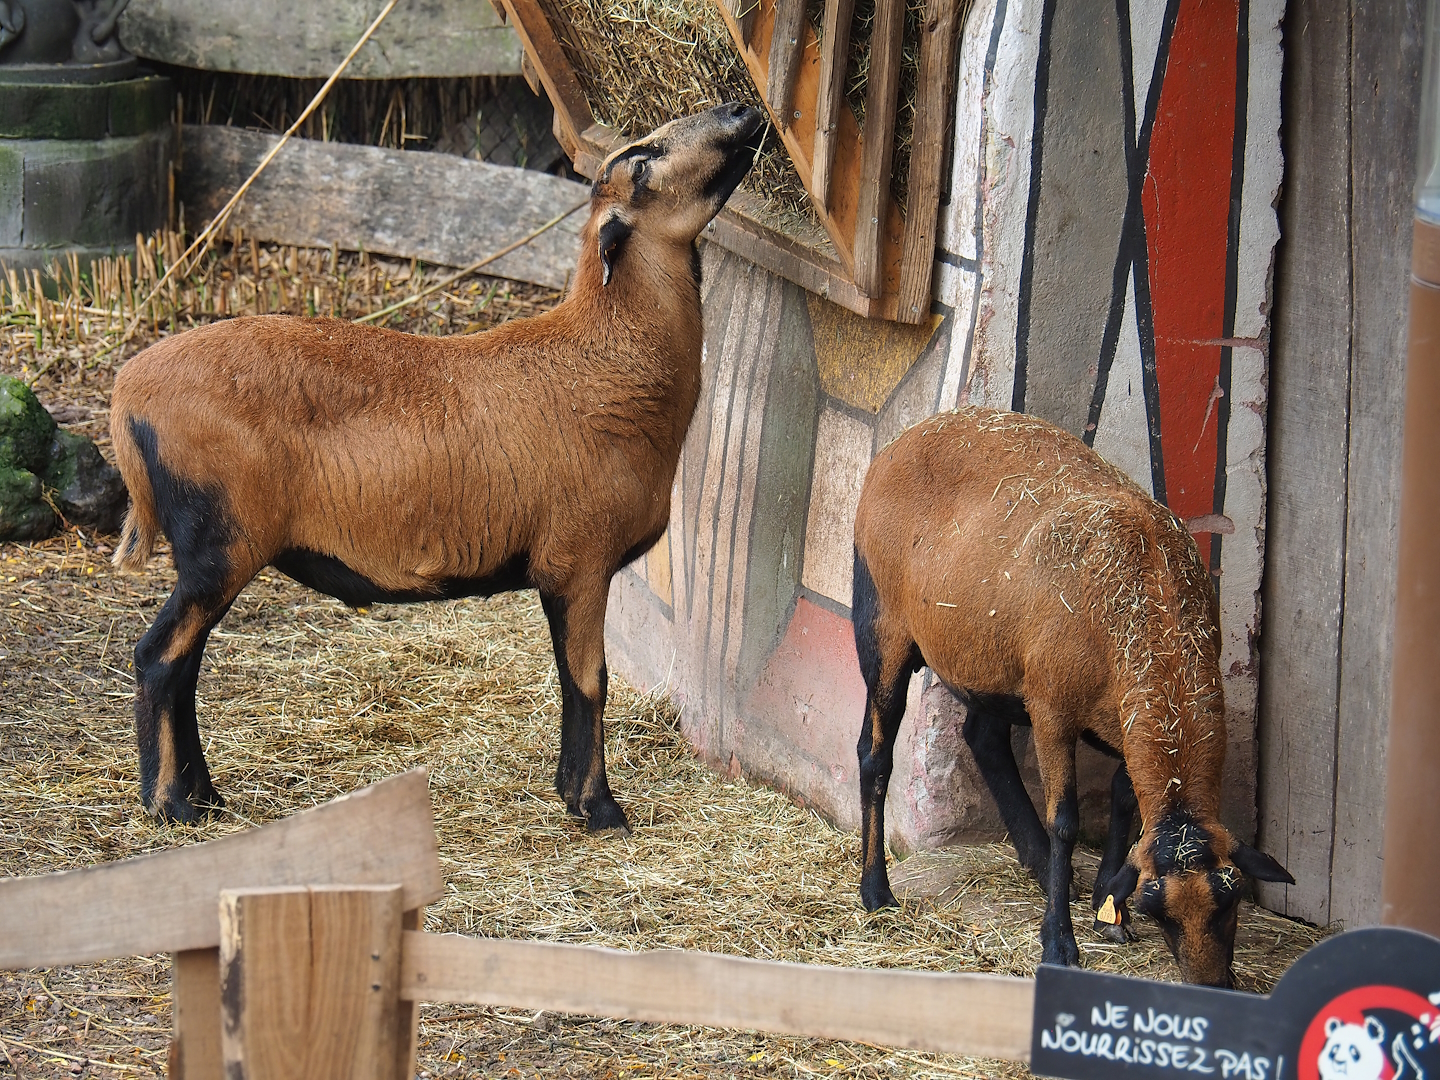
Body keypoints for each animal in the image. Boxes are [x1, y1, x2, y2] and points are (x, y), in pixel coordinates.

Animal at [108, 102, 764, 828]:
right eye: (643, 162)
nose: (742, 109)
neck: (608, 355)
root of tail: (127, 392)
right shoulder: (579, 557)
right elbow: (589, 679)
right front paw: (597, 807)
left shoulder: (561, 568)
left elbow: (572, 677)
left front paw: (571, 792)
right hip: (220, 538)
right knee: (159, 657)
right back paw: (170, 803)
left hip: (214, 553)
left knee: (184, 661)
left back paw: (205, 796)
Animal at [850, 406, 1292, 987]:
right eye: (1159, 910)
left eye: (1232, 898)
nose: (1212, 987)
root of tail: (913, 432)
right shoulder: (1053, 709)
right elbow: (1066, 821)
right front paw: (1060, 941)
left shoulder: (1127, 718)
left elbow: (1126, 798)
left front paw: (1108, 905)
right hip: (883, 625)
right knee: (874, 755)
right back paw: (876, 892)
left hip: (994, 662)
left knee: (982, 735)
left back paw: (1035, 864)